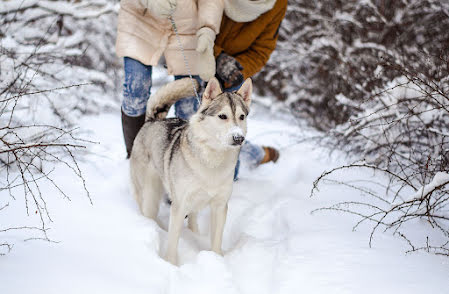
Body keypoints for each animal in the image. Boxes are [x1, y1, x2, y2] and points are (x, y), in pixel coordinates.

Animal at [129, 76, 252, 264]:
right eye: (222, 116)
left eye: (241, 116)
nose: (239, 138)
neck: (212, 161)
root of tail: (153, 120)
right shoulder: (179, 206)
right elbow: (173, 242)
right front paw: (171, 264)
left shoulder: (220, 206)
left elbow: (216, 240)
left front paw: (216, 261)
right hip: (150, 195)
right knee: (148, 211)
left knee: (193, 219)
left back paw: (194, 234)